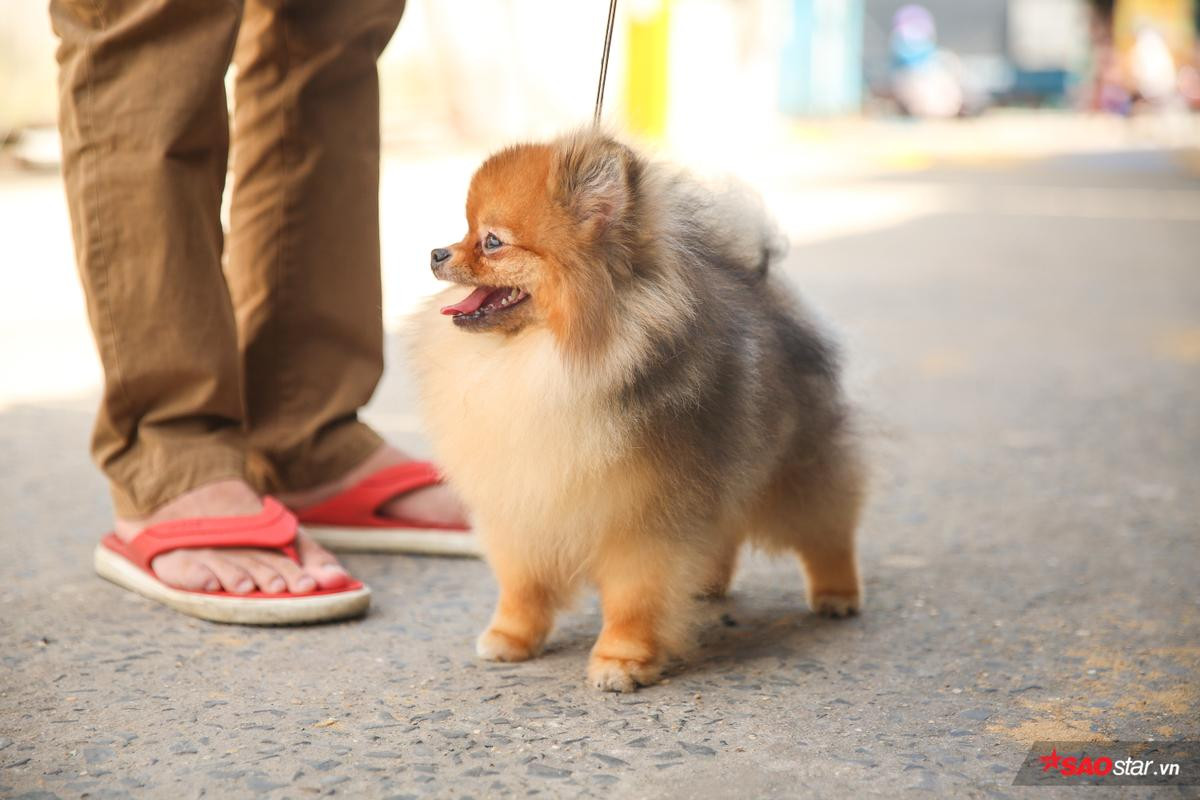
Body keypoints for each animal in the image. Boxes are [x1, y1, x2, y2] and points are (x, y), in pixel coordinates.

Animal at [412, 131, 864, 695]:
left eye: (492, 241)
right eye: (465, 229)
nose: (435, 252)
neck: (546, 358)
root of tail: (760, 283)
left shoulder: (643, 516)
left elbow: (634, 597)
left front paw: (621, 660)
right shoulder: (522, 504)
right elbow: (522, 584)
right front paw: (510, 637)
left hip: (797, 466)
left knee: (827, 523)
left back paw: (837, 593)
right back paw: (708, 584)